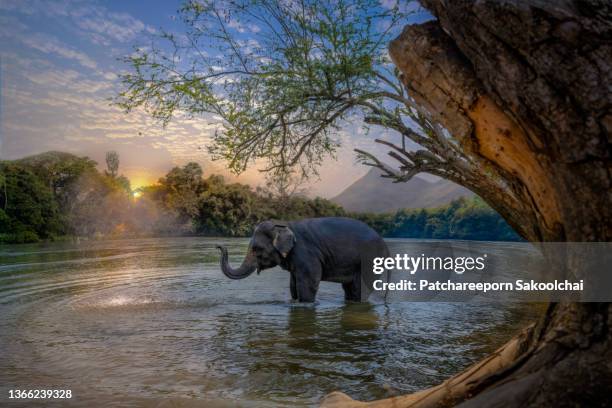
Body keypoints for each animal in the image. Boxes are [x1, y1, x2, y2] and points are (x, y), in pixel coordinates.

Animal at [215, 217, 388, 302]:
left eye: (256, 249)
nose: (218, 245)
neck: (284, 224)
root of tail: (384, 244)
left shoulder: (306, 254)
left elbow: (308, 283)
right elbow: (293, 285)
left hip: (370, 261)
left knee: (360, 289)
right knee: (350, 288)